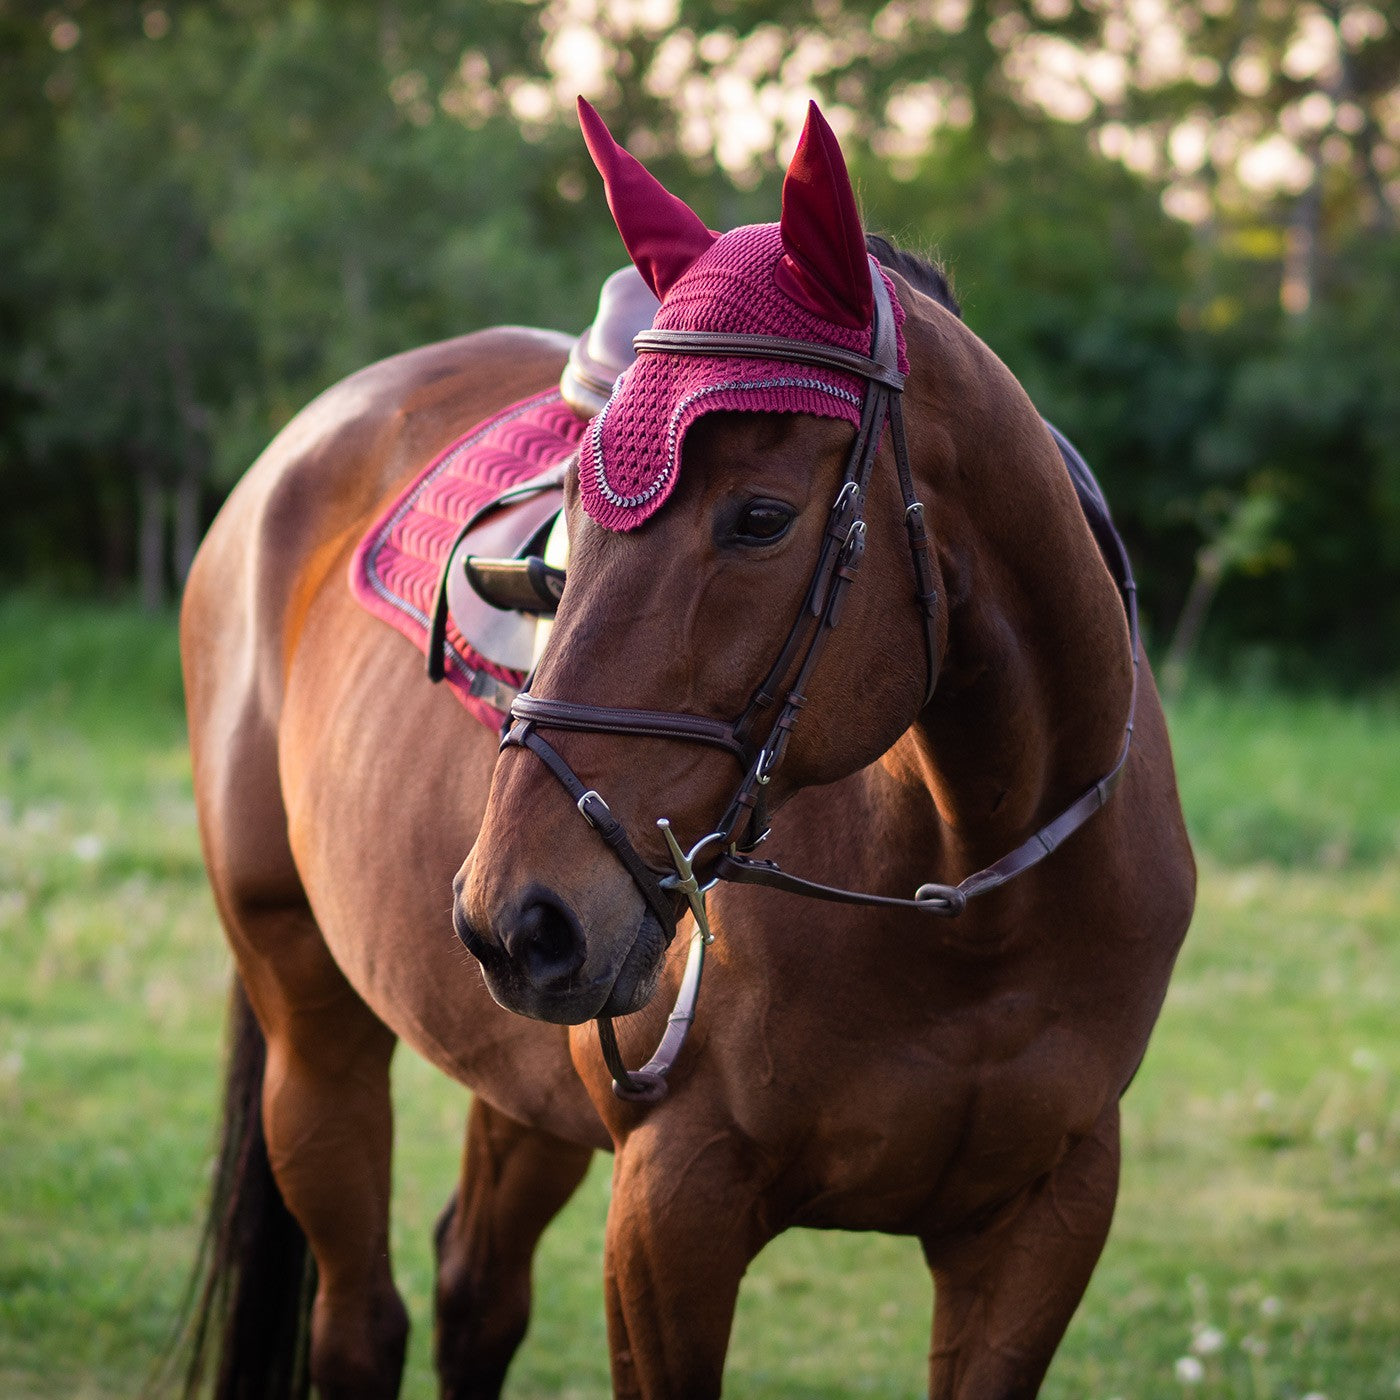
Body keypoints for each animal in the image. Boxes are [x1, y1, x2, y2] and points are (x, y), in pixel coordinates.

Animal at [180, 101, 1192, 1400]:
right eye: (569, 512)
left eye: (758, 518)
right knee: (360, 1321)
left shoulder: (1043, 1216)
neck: (969, 893)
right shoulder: (675, 1205)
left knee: (475, 1292)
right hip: (313, 1027)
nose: (516, 912)